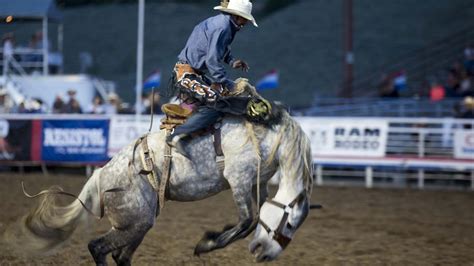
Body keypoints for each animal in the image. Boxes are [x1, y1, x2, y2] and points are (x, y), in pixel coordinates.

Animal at [10, 106, 312, 264]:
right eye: (289, 224)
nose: (265, 254)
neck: (268, 136)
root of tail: (101, 174)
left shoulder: (255, 183)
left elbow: (255, 216)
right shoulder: (238, 178)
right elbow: (247, 220)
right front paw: (206, 244)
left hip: (136, 224)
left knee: (120, 256)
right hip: (134, 224)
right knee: (98, 247)